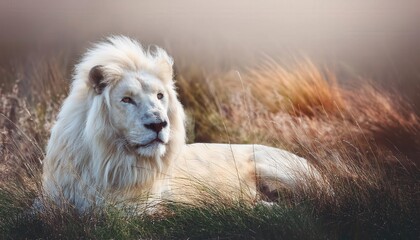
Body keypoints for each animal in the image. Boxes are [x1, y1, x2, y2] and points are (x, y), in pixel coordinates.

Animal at [41, 35, 316, 212]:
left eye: (159, 96)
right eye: (127, 99)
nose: (158, 124)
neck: (110, 160)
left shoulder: (146, 207)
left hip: (272, 166)